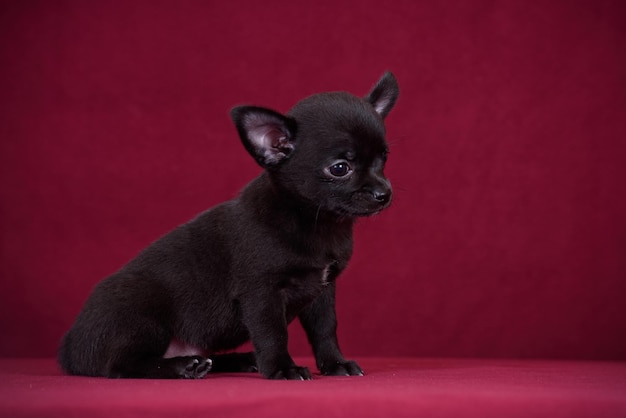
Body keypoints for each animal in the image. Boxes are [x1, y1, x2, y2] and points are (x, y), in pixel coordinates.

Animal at [59, 72, 400, 378]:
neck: (313, 219)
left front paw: (334, 364)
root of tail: (69, 349)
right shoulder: (261, 294)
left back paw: (232, 361)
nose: (384, 193)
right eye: (340, 168)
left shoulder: (322, 291)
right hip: (143, 322)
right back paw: (184, 366)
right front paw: (282, 368)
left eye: (383, 158)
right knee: (122, 366)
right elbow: (273, 334)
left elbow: (325, 330)